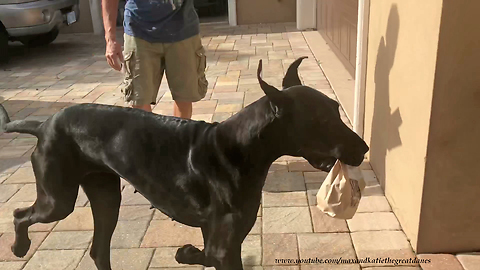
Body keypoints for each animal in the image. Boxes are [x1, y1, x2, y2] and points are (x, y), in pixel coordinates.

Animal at [0, 57, 368, 270]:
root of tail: (44, 124)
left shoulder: (223, 238)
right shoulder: (224, 246)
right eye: (322, 120)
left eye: (336, 109)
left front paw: (187, 254)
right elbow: (209, 254)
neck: (241, 149)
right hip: (58, 200)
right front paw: (186, 254)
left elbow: (206, 253)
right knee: (21, 215)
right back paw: (19, 246)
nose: (364, 148)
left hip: (105, 196)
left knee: (98, 250)